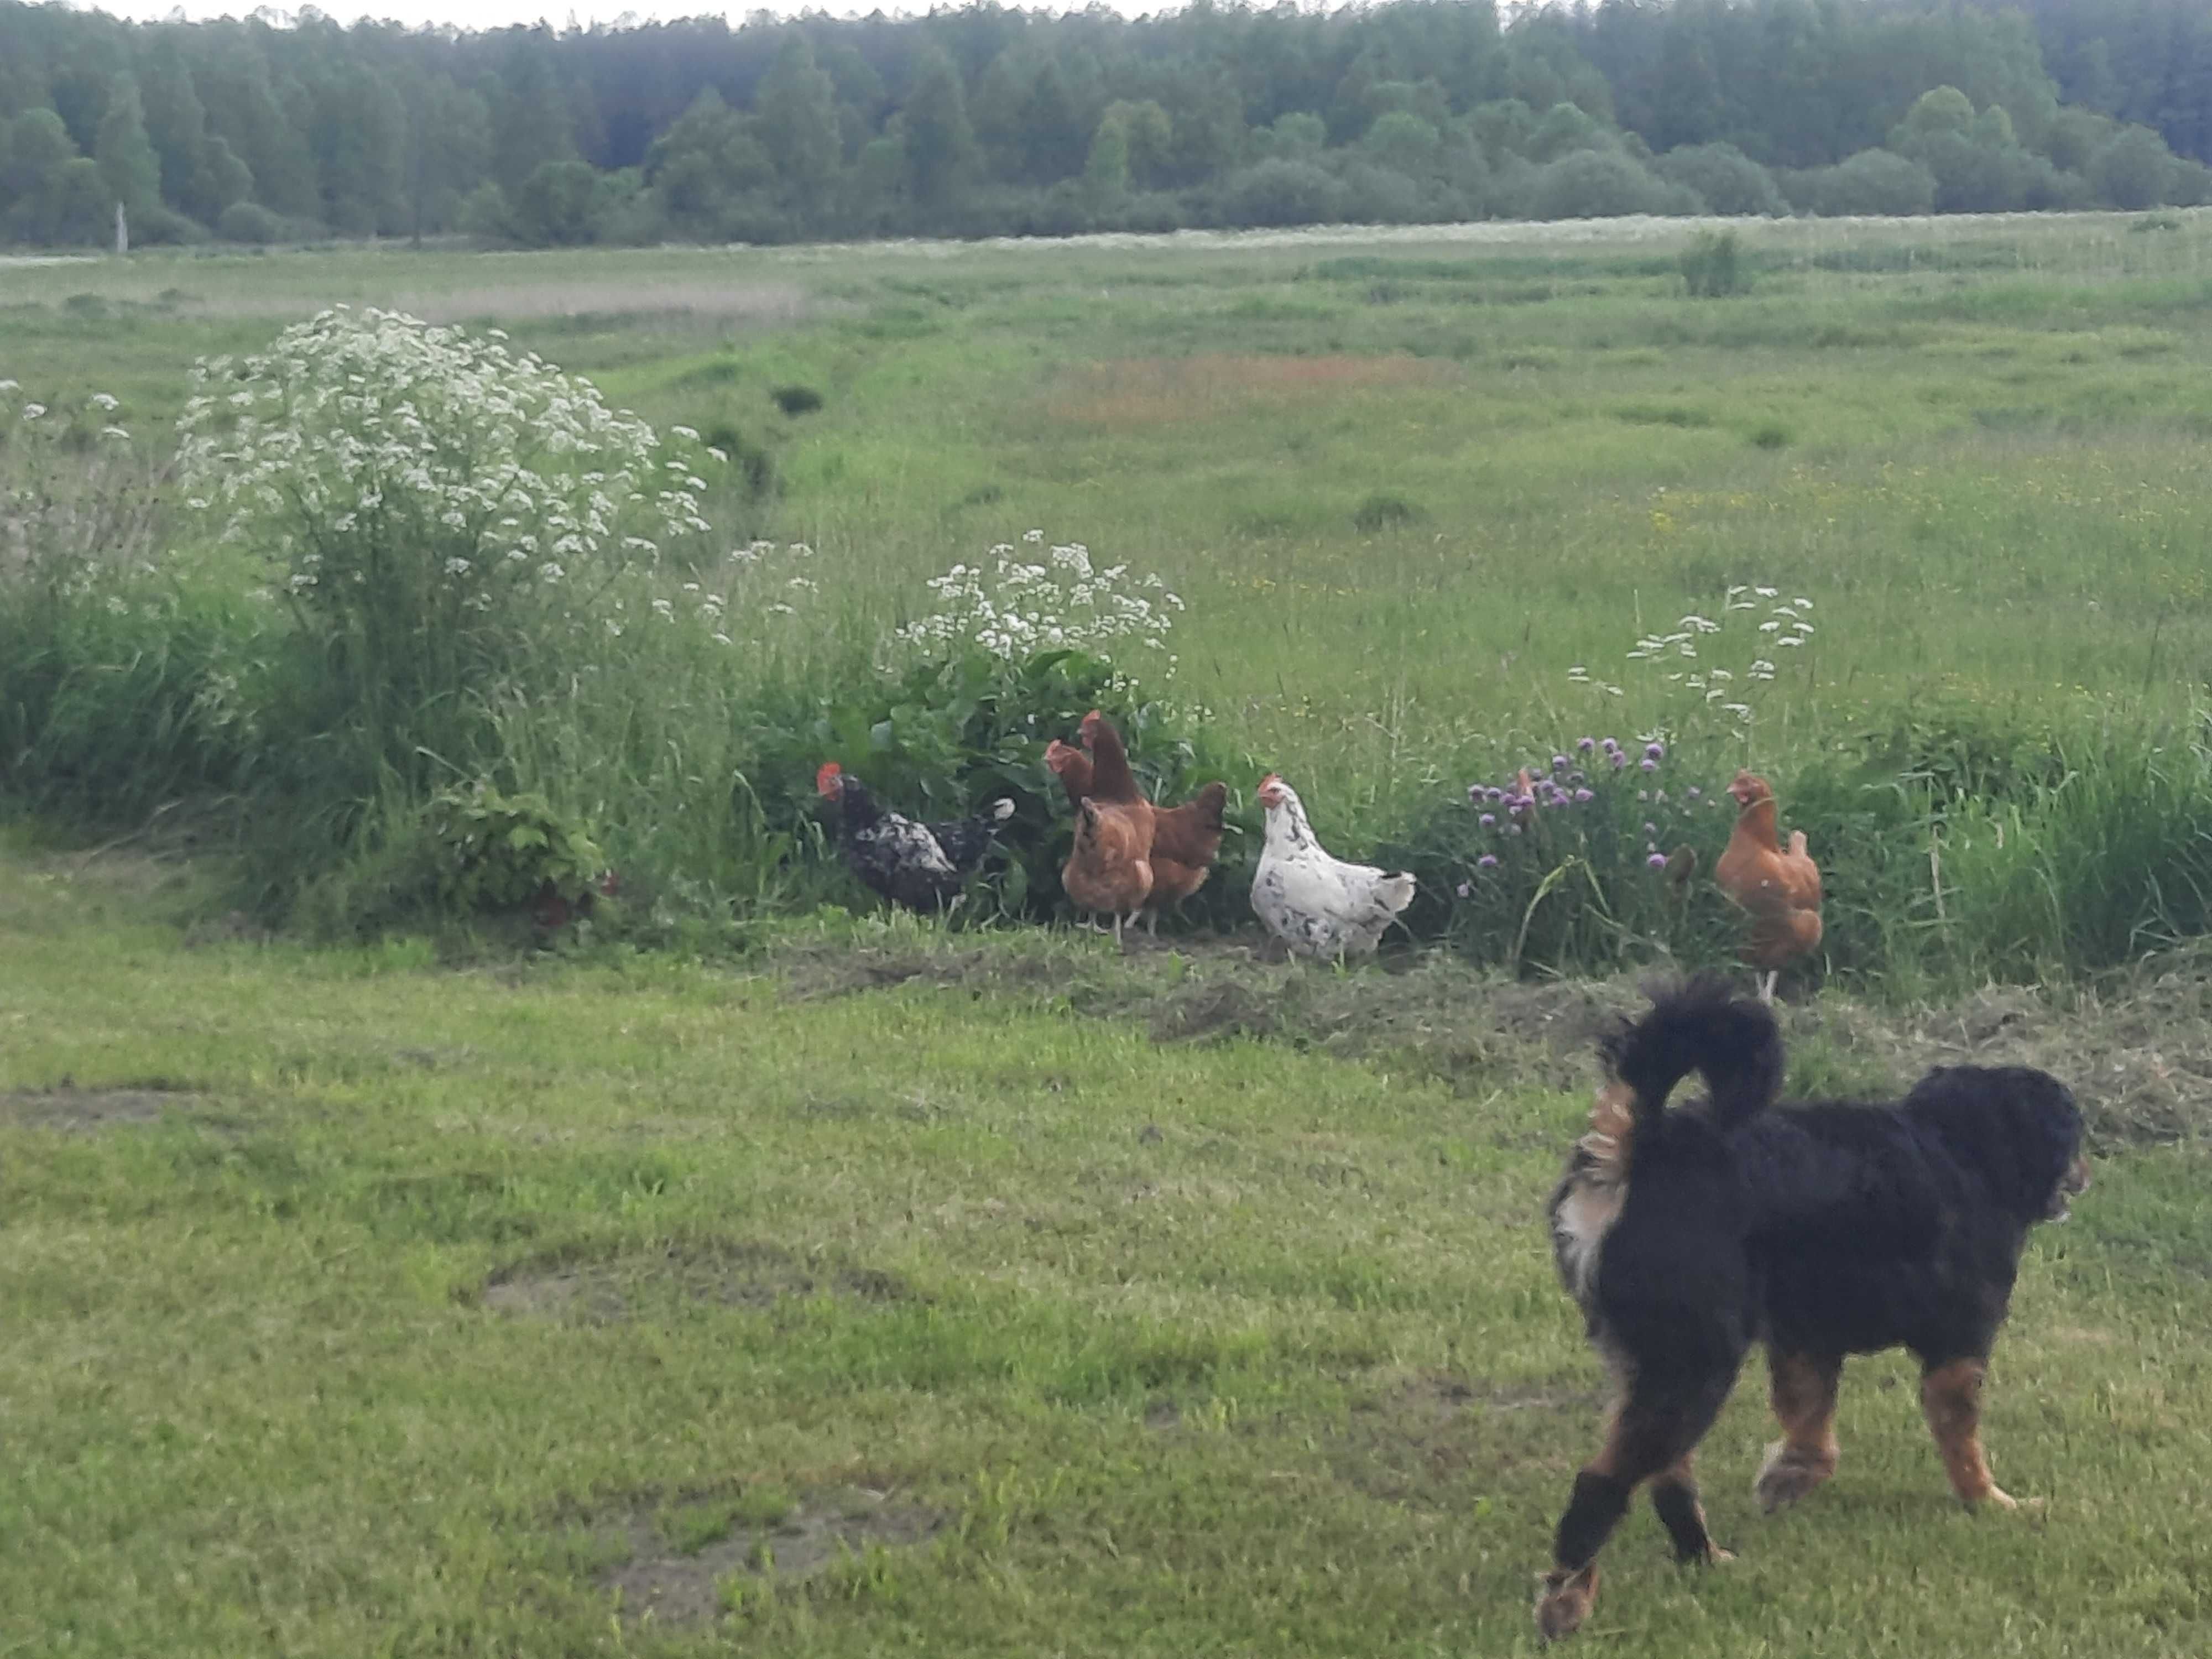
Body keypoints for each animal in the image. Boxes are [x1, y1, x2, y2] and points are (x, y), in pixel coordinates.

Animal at [1531, 982, 2079, 1646]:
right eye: (2075, 1132)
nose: (2083, 1172)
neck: (1963, 1146)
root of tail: (1647, 1147)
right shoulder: (1958, 1349)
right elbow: (1963, 1446)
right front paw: (1991, 1503)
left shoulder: (1805, 1343)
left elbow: (1811, 1430)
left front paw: (1785, 1480)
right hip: (1695, 1366)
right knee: (1602, 1485)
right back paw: (1566, 1603)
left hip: (1658, 1364)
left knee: (1668, 1477)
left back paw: (1702, 1558)